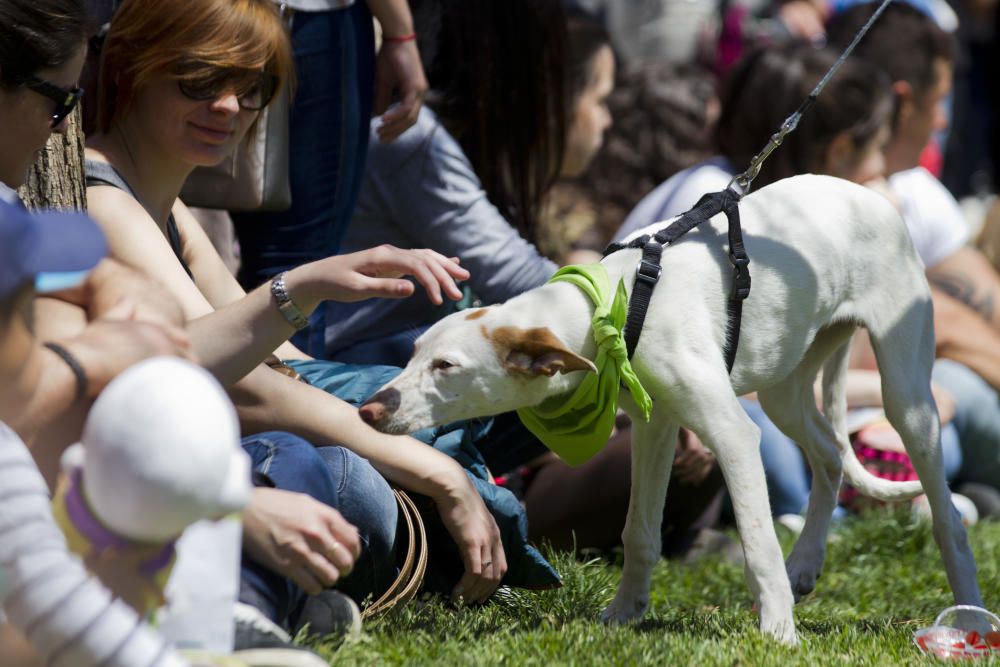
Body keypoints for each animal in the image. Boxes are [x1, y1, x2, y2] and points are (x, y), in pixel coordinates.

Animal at [356, 175, 980, 644]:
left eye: (447, 367)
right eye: (413, 354)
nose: (368, 412)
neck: (611, 303)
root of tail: (869, 192)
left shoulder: (731, 433)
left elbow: (757, 545)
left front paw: (778, 633)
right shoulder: (655, 426)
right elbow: (639, 532)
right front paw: (624, 612)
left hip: (905, 393)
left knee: (946, 515)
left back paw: (968, 614)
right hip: (785, 387)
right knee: (828, 455)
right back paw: (805, 562)